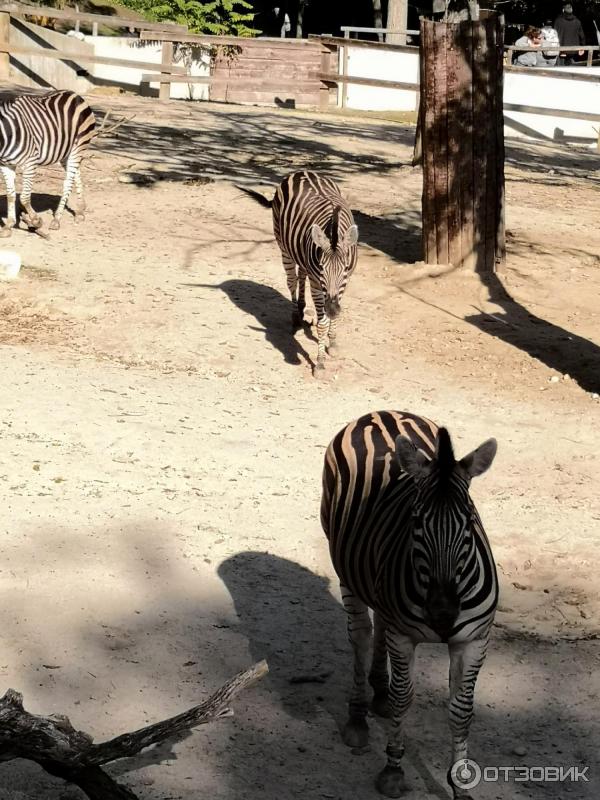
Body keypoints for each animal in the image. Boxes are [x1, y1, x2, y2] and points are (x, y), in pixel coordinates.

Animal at [0, 90, 96, 236]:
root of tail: (75, 95)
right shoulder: (6, 165)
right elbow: (11, 195)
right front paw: (9, 226)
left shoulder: (30, 162)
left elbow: (24, 197)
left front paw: (36, 221)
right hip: (65, 153)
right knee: (76, 174)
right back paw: (80, 211)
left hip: (79, 145)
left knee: (68, 182)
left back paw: (56, 220)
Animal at [236, 169, 358, 376]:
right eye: (323, 269)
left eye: (344, 269)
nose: (332, 309)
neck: (333, 230)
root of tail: (301, 171)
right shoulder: (318, 282)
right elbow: (322, 323)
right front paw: (320, 364)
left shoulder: (344, 282)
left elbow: (331, 317)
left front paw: (333, 342)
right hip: (283, 246)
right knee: (292, 280)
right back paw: (295, 315)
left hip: (299, 252)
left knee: (302, 273)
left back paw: (302, 307)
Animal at [322, 412, 500, 800]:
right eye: (416, 522)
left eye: (470, 521)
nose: (443, 612)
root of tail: (382, 412)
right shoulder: (404, 636)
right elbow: (404, 698)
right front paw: (393, 769)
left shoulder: (474, 640)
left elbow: (461, 711)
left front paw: (460, 785)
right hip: (346, 569)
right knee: (361, 634)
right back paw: (358, 715)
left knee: (379, 625)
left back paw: (379, 691)